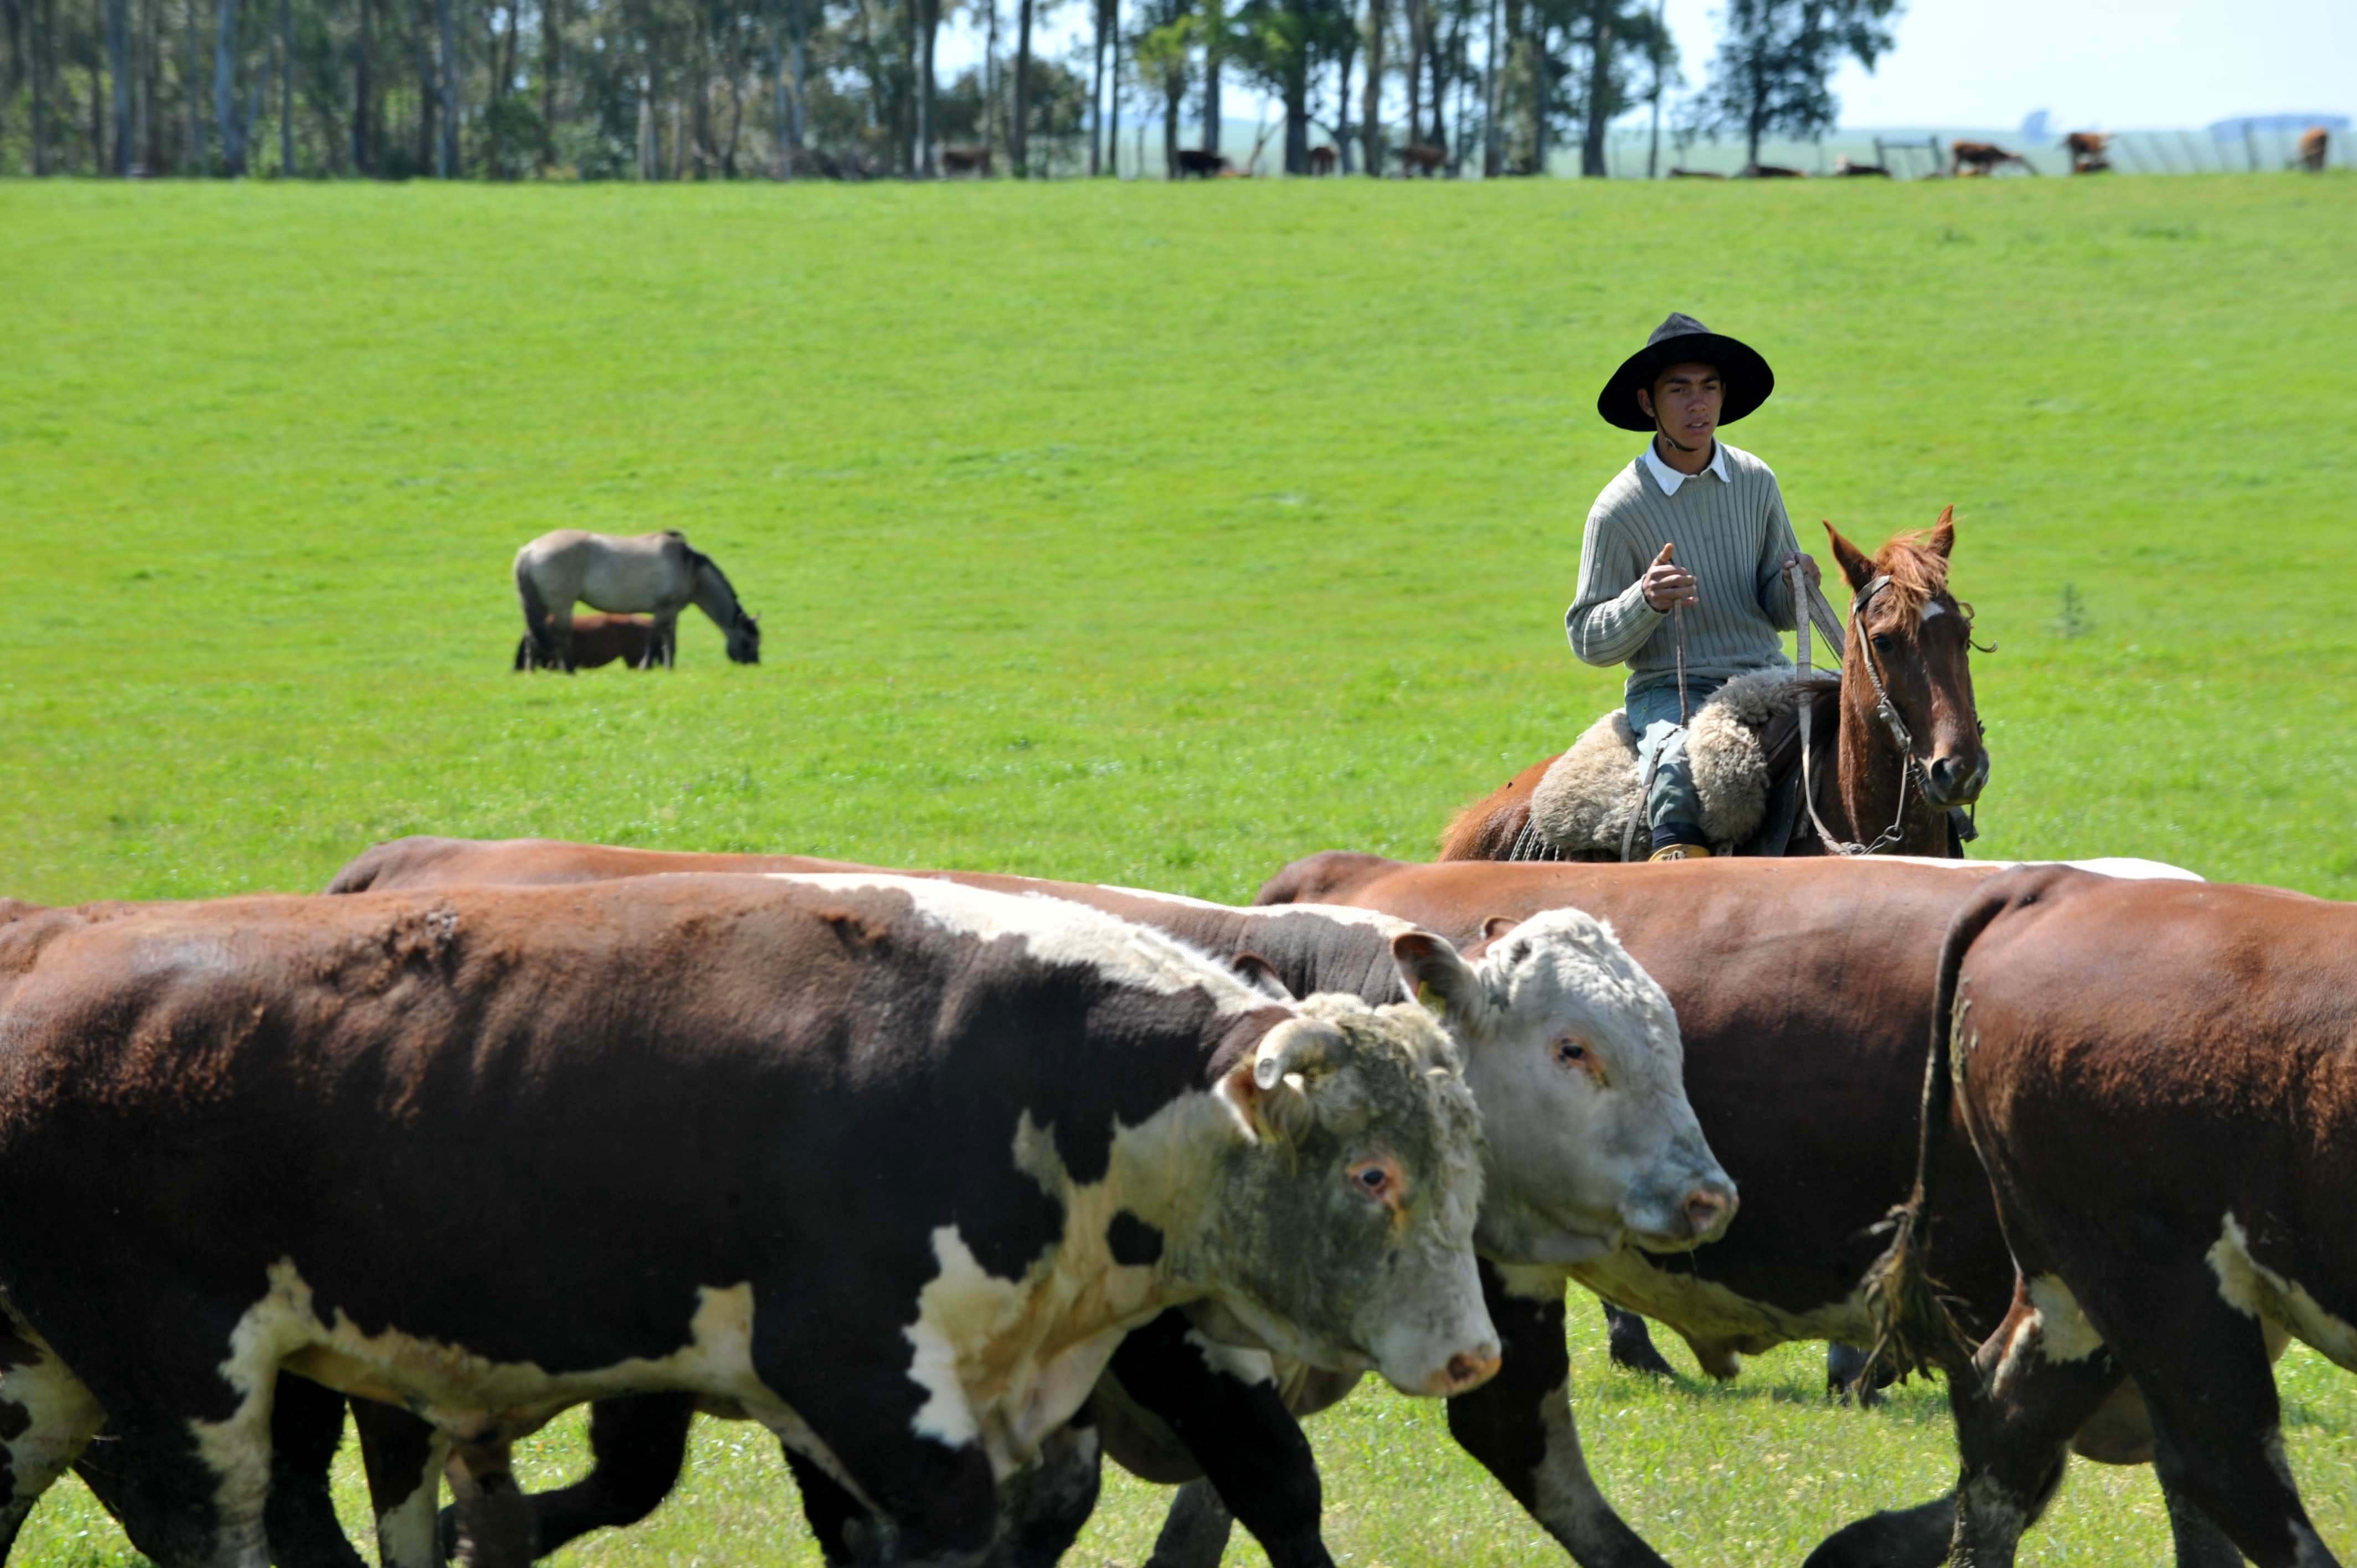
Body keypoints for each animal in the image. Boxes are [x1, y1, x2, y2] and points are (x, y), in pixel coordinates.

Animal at [0, 872, 1499, 1565]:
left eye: (1468, 1156)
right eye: (1372, 1174)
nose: (1474, 1350)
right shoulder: (870, 1393)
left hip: (67, 1387)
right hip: (186, 1394)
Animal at [511, 528, 759, 669]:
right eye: (748, 641)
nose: (754, 664)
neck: (689, 568)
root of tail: (529, 551)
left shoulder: (672, 612)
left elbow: (670, 642)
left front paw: (669, 669)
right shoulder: (663, 610)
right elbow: (655, 639)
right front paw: (646, 666)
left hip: (540, 606)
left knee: (532, 637)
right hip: (561, 606)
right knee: (560, 636)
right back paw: (569, 671)